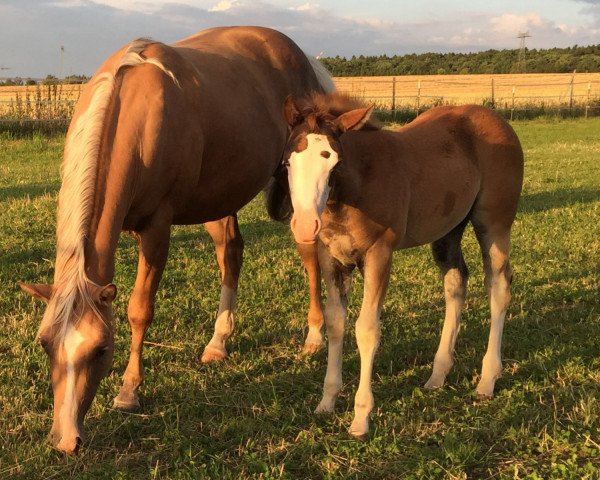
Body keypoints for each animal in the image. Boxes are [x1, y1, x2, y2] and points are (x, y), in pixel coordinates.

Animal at [19, 26, 332, 454]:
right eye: (45, 344)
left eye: (101, 349)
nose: (66, 439)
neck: (136, 116)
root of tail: (303, 59)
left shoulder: (157, 229)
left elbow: (139, 310)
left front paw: (129, 391)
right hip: (219, 197)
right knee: (231, 254)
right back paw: (218, 342)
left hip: (297, 189)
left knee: (309, 253)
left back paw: (315, 336)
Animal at [270, 92, 524, 436]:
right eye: (287, 162)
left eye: (334, 162)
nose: (307, 225)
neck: (356, 187)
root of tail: (499, 121)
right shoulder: (332, 258)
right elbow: (336, 323)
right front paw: (327, 402)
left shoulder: (380, 253)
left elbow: (366, 329)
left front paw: (360, 418)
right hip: (448, 230)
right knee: (456, 282)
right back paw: (437, 375)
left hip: (493, 223)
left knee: (498, 286)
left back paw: (486, 381)